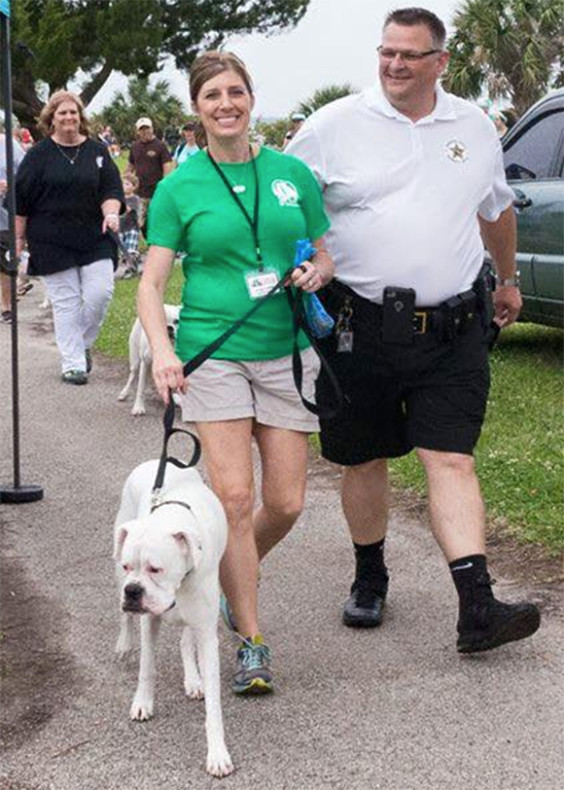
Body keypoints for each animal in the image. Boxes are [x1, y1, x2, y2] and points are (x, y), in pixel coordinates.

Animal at [113, 458, 232, 780]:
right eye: (129, 566)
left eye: (156, 569)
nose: (132, 590)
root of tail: (156, 461)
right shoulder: (148, 621)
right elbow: (147, 667)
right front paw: (142, 703)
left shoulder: (206, 633)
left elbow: (214, 704)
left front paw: (217, 753)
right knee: (125, 621)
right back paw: (123, 644)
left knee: (185, 640)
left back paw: (192, 679)